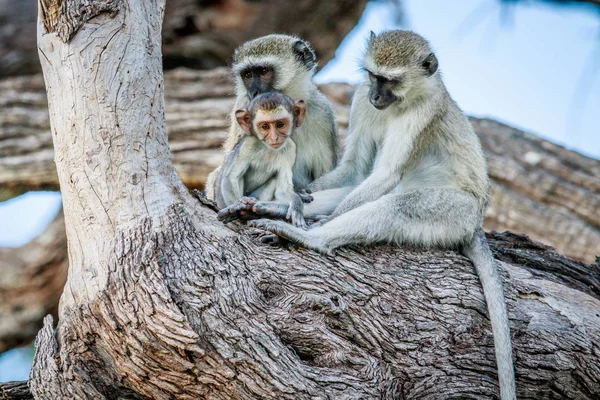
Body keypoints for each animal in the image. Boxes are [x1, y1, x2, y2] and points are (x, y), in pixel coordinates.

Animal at [214, 91, 310, 228]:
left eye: (280, 124)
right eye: (265, 126)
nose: (274, 138)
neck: (267, 148)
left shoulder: (290, 148)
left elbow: (282, 191)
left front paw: (296, 203)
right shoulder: (248, 144)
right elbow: (230, 178)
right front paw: (237, 205)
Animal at [243, 31, 516, 400]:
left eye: (391, 81)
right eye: (373, 77)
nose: (375, 95)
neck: (406, 99)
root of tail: (476, 222)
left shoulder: (423, 110)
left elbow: (384, 174)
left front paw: (311, 223)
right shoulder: (360, 99)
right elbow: (355, 170)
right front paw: (291, 204)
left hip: (455, 213)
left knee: (395, 205)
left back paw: (313, 237)